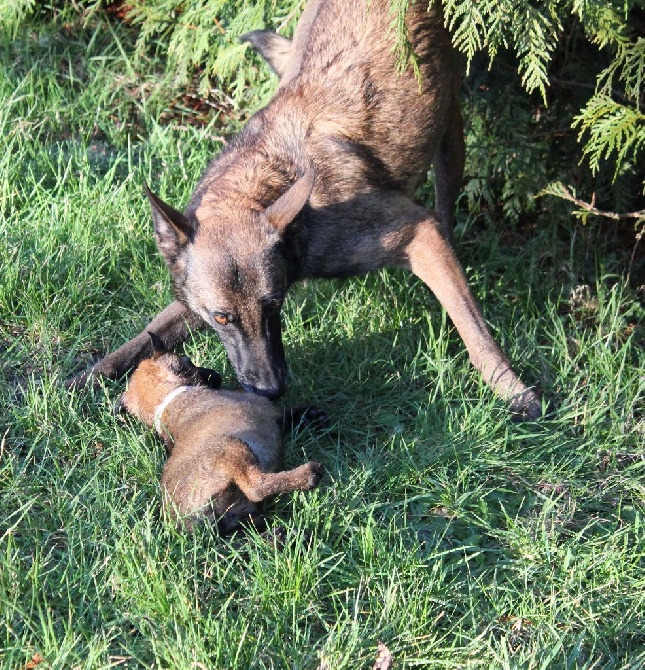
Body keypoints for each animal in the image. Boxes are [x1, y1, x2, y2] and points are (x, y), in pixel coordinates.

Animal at [70, 0, 540, 420]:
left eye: (274, 304)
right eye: (221, 317)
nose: (269, 391)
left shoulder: (417, 231)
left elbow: (475, 330)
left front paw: (514, 392)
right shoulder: (190, 296)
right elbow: (145, 336)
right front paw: (88, 376)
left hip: (449, 129)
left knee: (446, 206)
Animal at [119, 336, 324, 536]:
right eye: (188, 361)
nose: (215, 374)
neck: (168, 399)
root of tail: (190, 524)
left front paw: (314, 415)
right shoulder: (268, 409)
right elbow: (288, 413)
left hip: (242, 518)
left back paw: (284, 535)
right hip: (231, 446)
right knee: (256, 487)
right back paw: (309, 474)